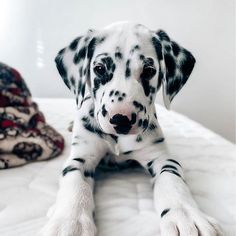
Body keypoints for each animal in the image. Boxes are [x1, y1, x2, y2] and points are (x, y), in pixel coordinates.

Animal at [40, 22, 223, 236]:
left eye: (149, 71)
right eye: (100, 69)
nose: (121, 119)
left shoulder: (162, 158)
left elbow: (172, 180)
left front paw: (186, 215)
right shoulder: (80, 158)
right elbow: (74, 182)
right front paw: (69, 221)